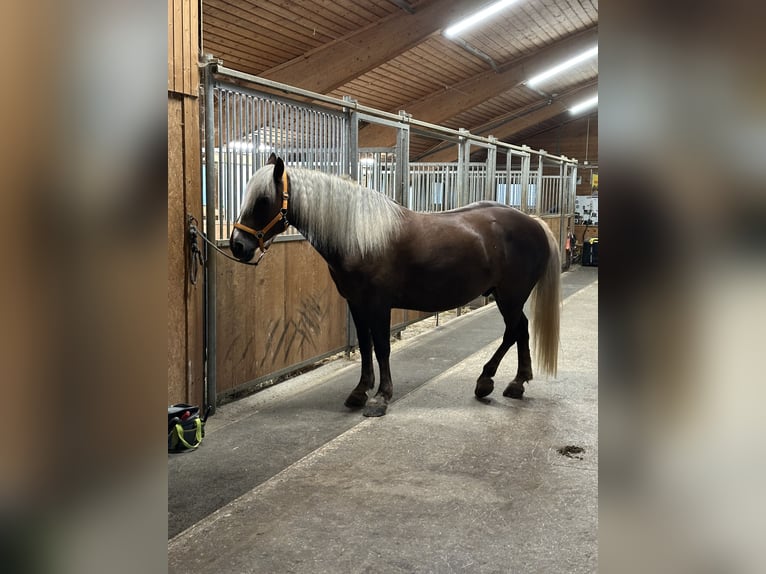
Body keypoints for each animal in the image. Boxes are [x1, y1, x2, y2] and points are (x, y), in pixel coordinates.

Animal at [230, 154, 561, 417]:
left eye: (263, 201)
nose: (237, 245)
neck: (361, 236)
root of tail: (534, 223)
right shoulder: (356, 304)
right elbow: (365, 347)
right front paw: (360, 391)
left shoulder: (379, 305)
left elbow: (382, 348)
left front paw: (381, 397)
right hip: (507, 297)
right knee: (521, 329)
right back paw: (516, 383)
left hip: (511, 296)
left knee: (513, 331)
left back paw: (487, 380)